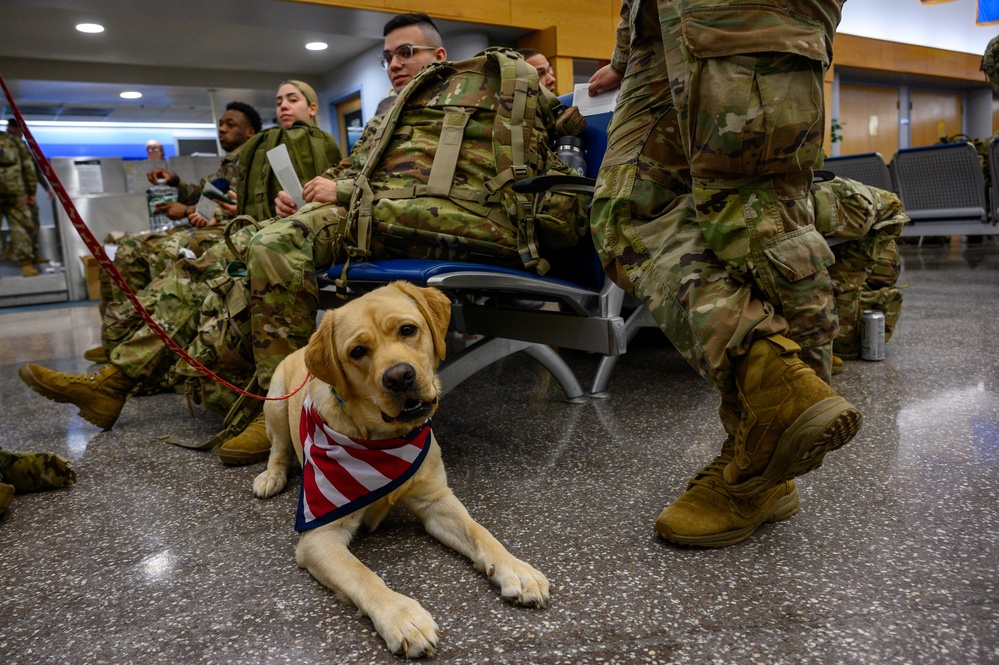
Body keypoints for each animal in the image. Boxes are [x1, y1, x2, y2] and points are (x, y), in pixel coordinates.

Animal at [250, 278, 548, 652]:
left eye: (408, 330)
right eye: (357, 351)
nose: (399, 376)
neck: (383, 438)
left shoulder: (436, 501)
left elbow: (480, 531)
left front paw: (516, 568)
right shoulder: (320, 535)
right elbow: (361, 574)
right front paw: (402, 617)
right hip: (274, 402)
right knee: (278, 448)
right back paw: (271, 476)